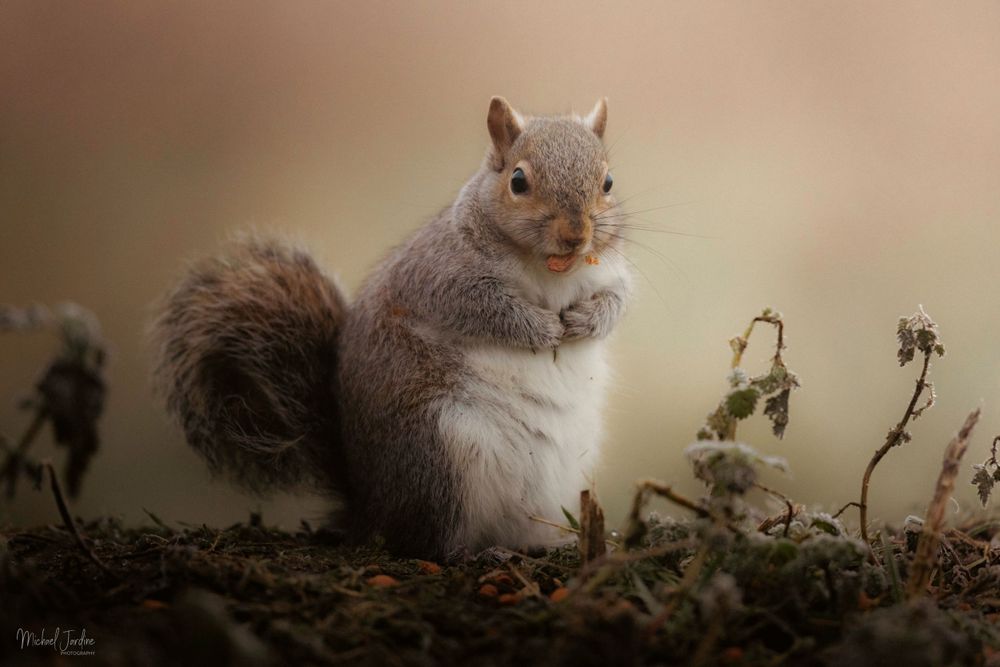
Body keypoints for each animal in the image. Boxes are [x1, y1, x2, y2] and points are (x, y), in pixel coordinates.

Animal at [152, 97, 632, 560]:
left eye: (608, 182)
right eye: (518, 181)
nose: (576, 234)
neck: (550, 271)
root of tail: (369, 506)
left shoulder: (611, 271)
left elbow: (619, 298)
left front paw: (587, 320)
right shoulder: (437, 275)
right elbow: (482, 308)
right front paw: (540, 328)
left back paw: (555, 543)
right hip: (438, 458)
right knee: (427, 541)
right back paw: (477, 554)